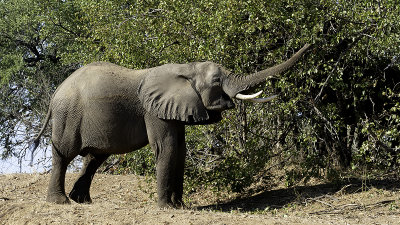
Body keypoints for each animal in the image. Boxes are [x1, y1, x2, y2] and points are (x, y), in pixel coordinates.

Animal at [31, 43, 310, 207]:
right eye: (217, 80)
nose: (309, 44)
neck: (186, 68)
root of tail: (56, 93)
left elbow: (181, 151)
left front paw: (180, 207)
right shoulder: (154, 110)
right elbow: (168, 148)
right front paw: (166, 207)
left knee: (95, 158)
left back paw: (83, 202)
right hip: (68, 115)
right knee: (64, 154)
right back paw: (60, 203)